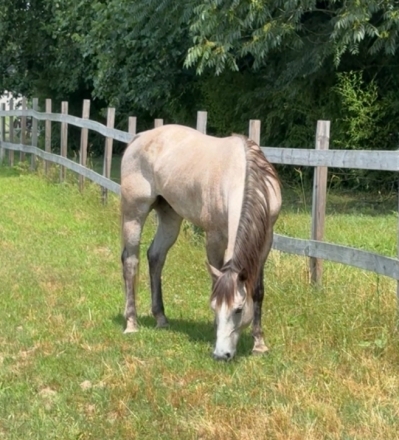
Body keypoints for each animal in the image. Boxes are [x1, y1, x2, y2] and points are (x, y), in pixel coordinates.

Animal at [120, 124, 282, 360]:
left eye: (239, 310)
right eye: (214, 307)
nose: (221, 355)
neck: (238, 172)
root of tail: (140, 137)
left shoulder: (265, 240)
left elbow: (258, 291)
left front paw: (259, 344)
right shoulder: (214, 237)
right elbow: (216, 283)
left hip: (170, 216)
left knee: (156, 256)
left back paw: (161, 318)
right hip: (134, 212)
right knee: (131, 261)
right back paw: (131, 323)